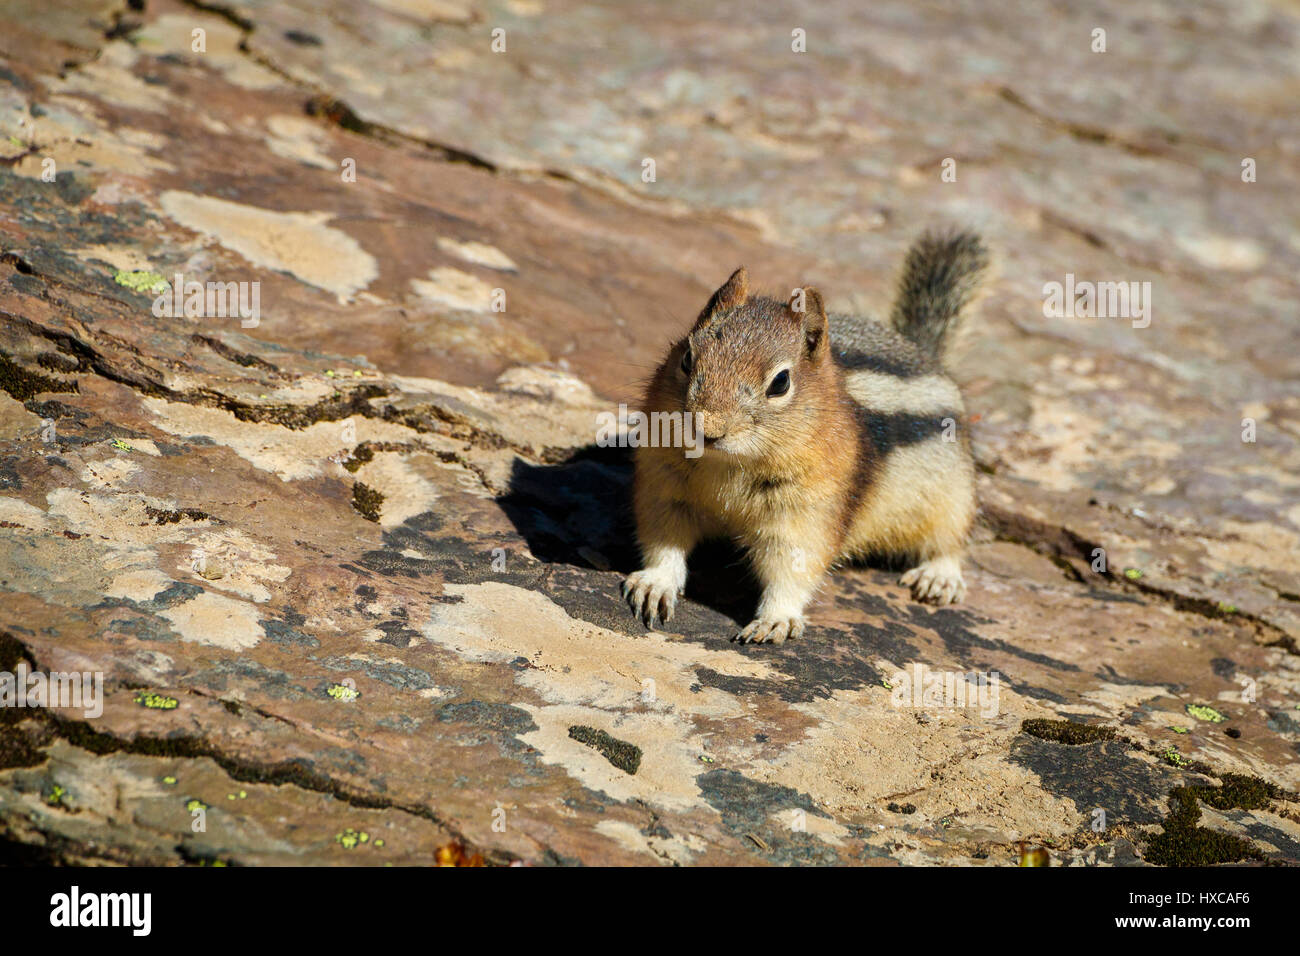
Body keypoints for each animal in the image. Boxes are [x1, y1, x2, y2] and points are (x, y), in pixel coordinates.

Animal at [622, 230, 990, 644]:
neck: (728, 466)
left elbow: (794, 566)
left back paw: (938, 577)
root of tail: (924, 353)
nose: (708, 429)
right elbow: (664, 538)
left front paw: (776, 619)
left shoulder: (809, 510)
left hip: (954, 495)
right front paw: (655, 584)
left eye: (781, 382)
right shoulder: (666, 487)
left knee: (951, 539)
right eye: (686, 358)